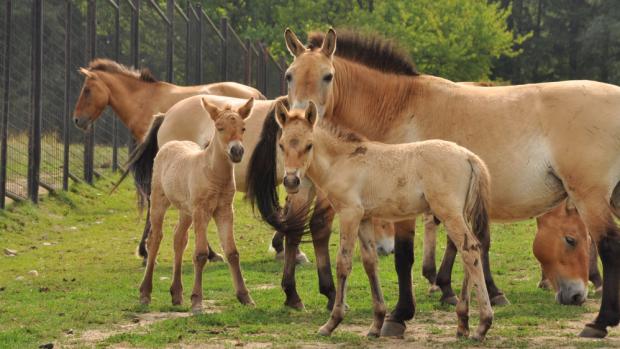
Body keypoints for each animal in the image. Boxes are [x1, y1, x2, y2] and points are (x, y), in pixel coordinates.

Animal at [139, 96, 256, 312]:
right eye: (219, 127)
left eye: (243, 128)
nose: (237, 151)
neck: (213, 174)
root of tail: (170, 144)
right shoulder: (202, 210)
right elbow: (200, 254)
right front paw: (196, 300)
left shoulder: (225, 210)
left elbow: (232, 252)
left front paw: (245, 297)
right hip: (160, 201)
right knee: (155, 239)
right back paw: (145, 293)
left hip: (186, 210)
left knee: (179, 238)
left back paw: (177, 294)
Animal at [276, 100, 494, 340]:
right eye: (281, 145)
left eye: (309, 145)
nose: (291, 181)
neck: (343, 160)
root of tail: (468, 156)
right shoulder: (364, 218)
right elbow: (370, 263)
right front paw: (376, 324)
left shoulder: (349, 214)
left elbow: (343, 263)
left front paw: (332, 323)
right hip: (458, 213)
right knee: (467, 254)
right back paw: (462, 324)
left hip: (449, 213)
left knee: (470, 251)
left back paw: (482, 325)